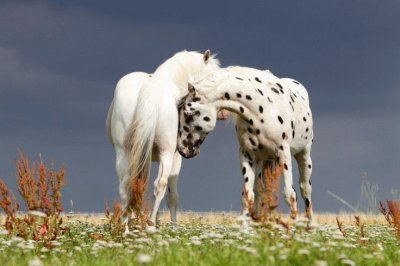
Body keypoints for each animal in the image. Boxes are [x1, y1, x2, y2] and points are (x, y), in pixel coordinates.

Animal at [106, 50, 220, 227]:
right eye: (212, 78)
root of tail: (151, 88)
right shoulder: (175, 157)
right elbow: (172, 196)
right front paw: (173, 226)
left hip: (123, 153)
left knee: (126, 186)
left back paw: (125, 227)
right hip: (166, 153)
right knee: (160, 185)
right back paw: (151, 224)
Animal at [177, 65, 314, 223]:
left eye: (188, 114)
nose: (182, 150)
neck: (261, 108)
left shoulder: (283, 154)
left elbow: (289, 194)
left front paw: (293, 223)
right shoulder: (247, 154)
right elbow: (248, 195)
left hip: (303, 155)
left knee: (305, 189)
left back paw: (309, 222)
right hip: (264, 162)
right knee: (262, 191)